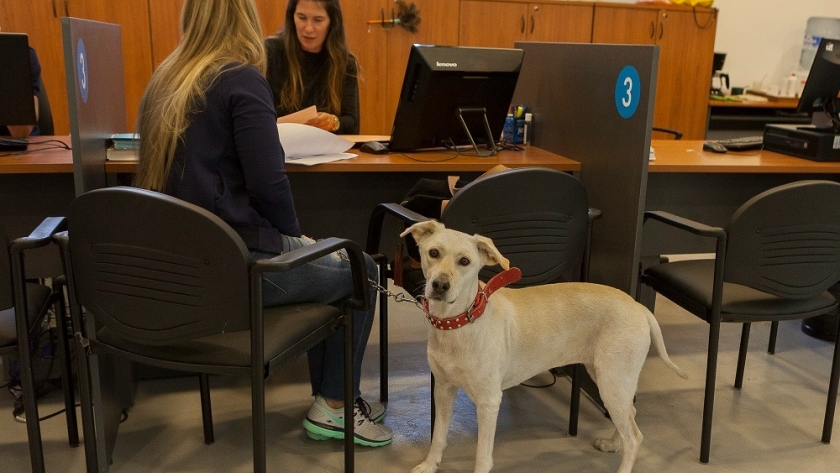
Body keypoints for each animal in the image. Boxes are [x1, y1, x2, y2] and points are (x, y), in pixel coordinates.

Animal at [404, 219, 684, 472]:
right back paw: (613, 444)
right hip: (608, 379)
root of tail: (639, 307)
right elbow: (438, 437)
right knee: (631, 415)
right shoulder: (443, 389)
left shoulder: (488, 401)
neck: (458, 323)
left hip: (612, 382)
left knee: (635, 438)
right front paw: (429, 465)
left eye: (465, 261)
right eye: (433, 253)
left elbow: (482, 457)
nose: (440, 285)